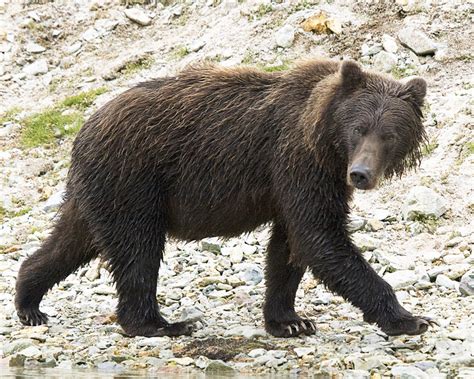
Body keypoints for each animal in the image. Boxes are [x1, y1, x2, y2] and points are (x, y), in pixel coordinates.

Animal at [15, 59, 436, 338]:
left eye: (389, 134)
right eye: (359, 128)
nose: (360, 174)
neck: (325, 142)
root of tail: (85, 127)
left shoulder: (301, 182)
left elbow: (289, 248)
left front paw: (289, 320)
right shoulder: (296, 162)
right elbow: (321, 238)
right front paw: (411, 318)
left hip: (100, 189)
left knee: (71, 241)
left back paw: (28, 301)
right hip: (134, 180)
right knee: (138, 250)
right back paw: (161, 324)